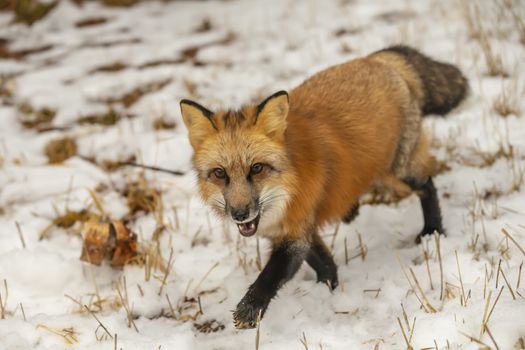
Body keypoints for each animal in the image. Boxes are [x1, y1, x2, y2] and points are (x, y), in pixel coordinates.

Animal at [179, 45, 466, 328]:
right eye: (220, 173)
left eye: (257, 168)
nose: (239, 214)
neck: (287, 187)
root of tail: (377, 59)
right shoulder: (297, 227)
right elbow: (324, 263)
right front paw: (328, 289)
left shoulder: (296, 231)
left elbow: (271, 275)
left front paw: (251, 308)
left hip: (399, 172)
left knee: (428, 186)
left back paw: (432, 231)